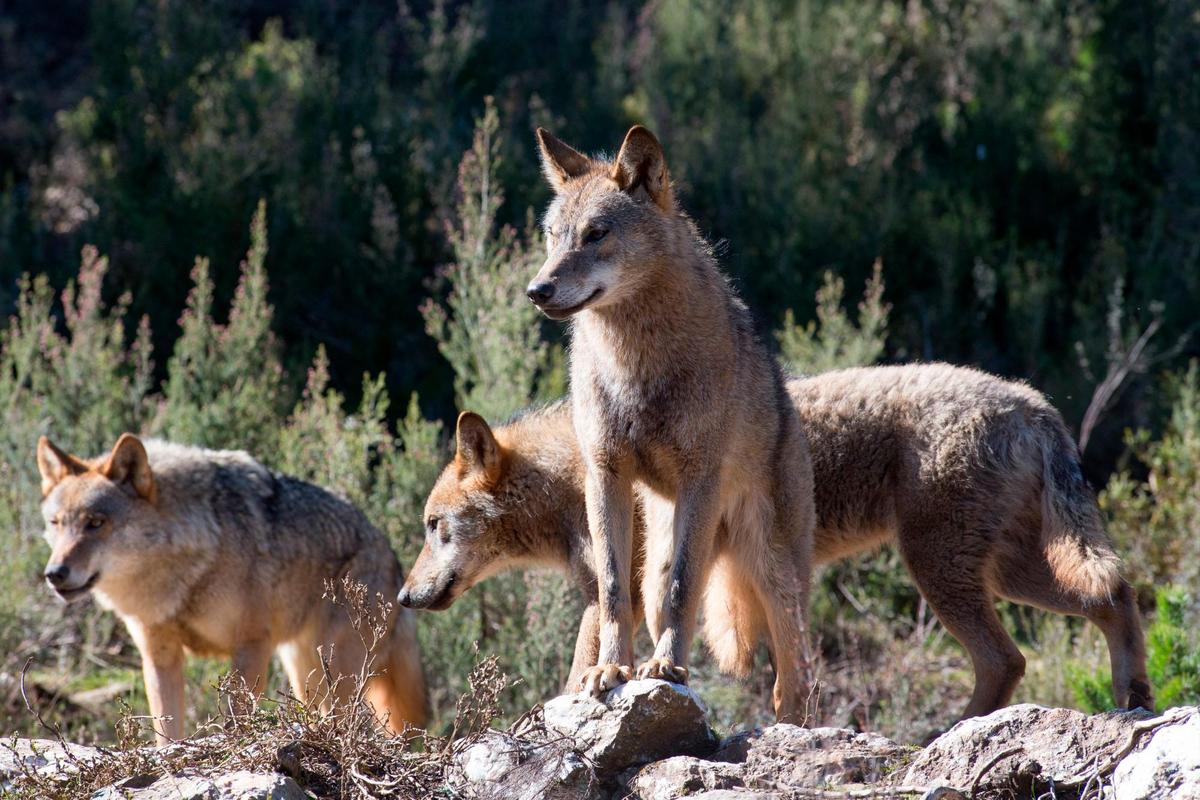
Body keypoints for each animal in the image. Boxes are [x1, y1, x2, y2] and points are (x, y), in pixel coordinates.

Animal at [400, 367, 1152, 724]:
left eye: (435, 527)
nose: (404, 597)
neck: (572, 475)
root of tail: (1034, 403)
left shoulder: (621, 596)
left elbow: (581, 672)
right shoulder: (615, 598)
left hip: (945, 573)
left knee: (1007, 657)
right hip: (1010, 573)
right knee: (1114, 597)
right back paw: (1133, 697)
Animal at [523, 126, 816, 724]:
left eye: (596, 234)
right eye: (553, 236)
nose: (537, 291)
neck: (634, 363)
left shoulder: (700, 477)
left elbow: (685, 588)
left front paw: (665, 669)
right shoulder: (604, 476)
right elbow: (612, 591)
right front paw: (610, 670)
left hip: (775, 577)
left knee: (793, 683)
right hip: (660, 560)